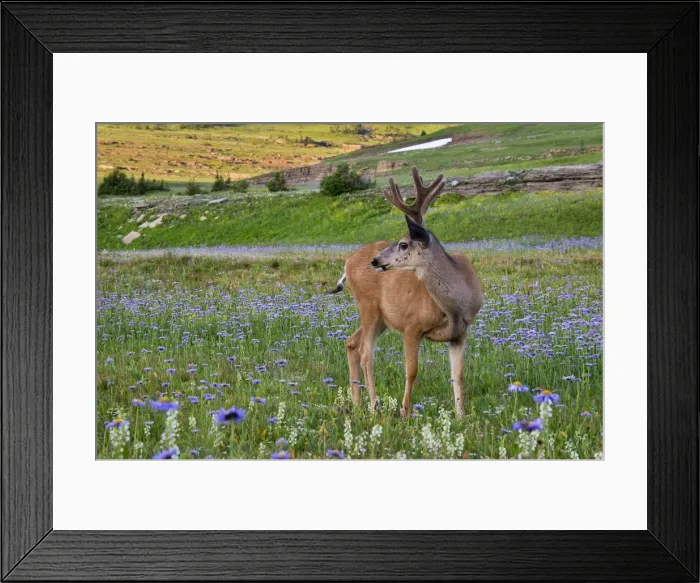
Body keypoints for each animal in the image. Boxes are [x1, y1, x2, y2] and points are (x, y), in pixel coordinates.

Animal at [331, 167, 483, 419]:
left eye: (403, 244)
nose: (376, 260)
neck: (454, 306)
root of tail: (347, 263)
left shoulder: (460, 333)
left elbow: (458, 374)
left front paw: (461, 415)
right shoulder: (412, 325)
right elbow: (412, 370)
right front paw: (404, 411)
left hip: (382, 317)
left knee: (351, 342)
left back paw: (357, 403)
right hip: (368, 306)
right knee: (366, 353)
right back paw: (374, 406)